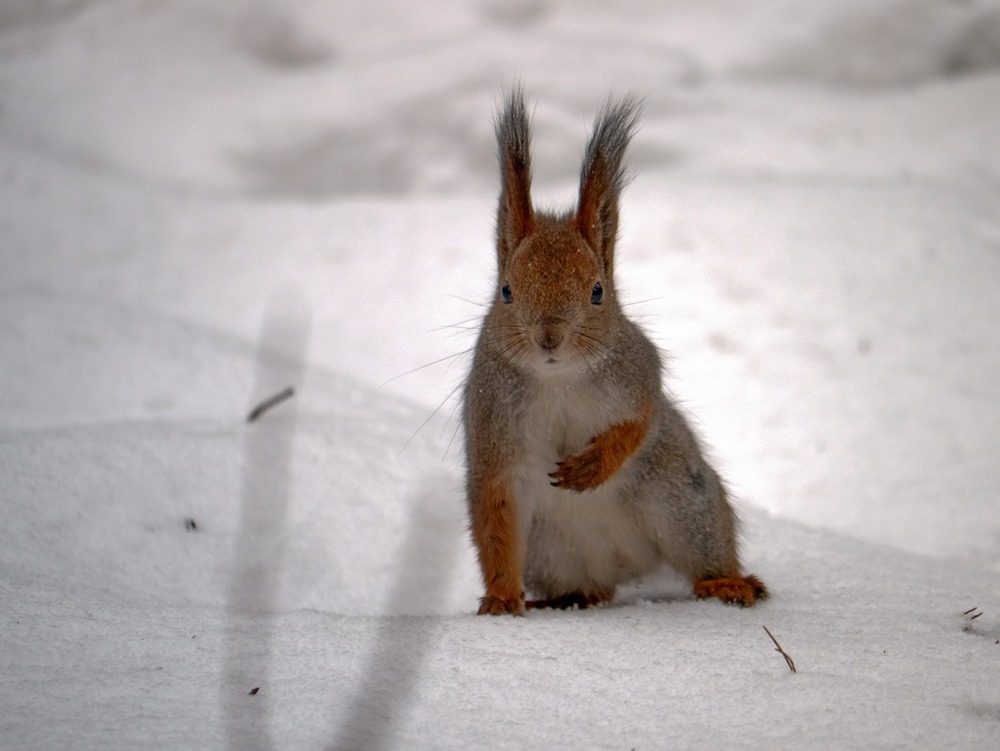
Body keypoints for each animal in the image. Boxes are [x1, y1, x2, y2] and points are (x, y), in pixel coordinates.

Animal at [460, 88, 764, 616]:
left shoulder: (636, 370)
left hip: (685, 501)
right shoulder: (492, 424)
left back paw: (727, 584)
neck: (557, 379)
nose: (549, 337)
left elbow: (639, 419)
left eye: (598, 292)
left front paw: (590, 467)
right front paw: (499, 601)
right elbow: (495, 511)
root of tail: (629, 564)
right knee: (591, 586)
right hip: (552, 549)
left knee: (703, 555)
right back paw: (569, 599)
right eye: (506, 291)